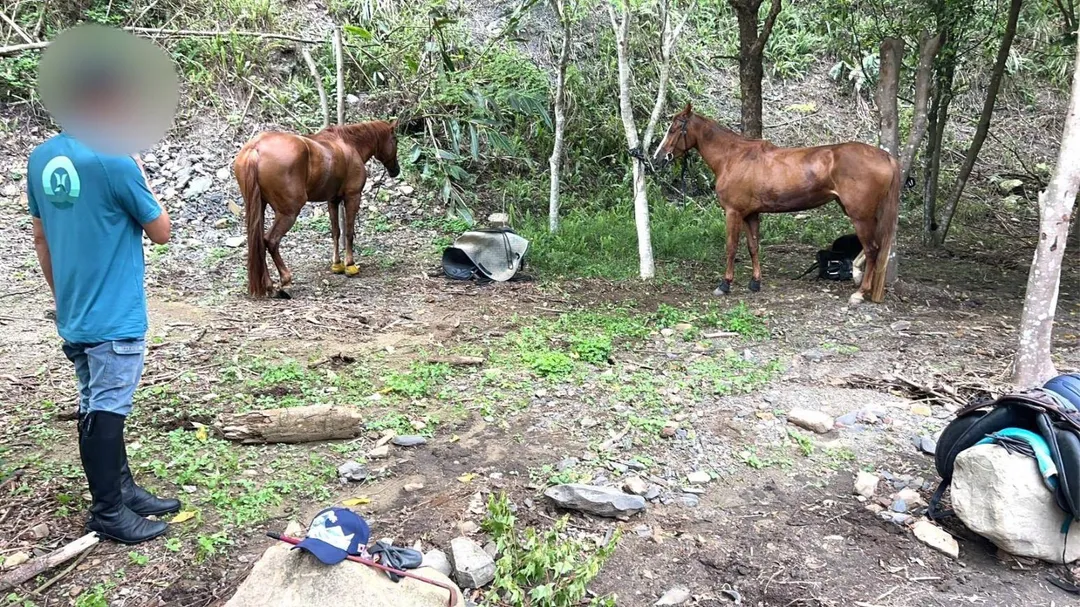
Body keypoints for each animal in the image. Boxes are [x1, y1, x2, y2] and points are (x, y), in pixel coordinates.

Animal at [233, 120, 401, 298]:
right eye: (395, 140)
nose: (396, 170)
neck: (349, 145)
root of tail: (256, 148)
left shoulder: (333, 200)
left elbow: (336, 232)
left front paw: (337, 265)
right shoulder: (353, 196)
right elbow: (349, 232)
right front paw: (350, 265)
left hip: (259, 207)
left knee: (259, 242)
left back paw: (268, 286)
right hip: (288, 212)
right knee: (270, 241)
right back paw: (284, 280)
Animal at [651, 103, 900, 304]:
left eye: (673, 129)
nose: (657, 158)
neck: (733, 157)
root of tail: (885, 156)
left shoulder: (733, 213)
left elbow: (731, 247)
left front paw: (725, 284)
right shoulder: (750, 214)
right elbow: (753, 247)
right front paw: (755, 283)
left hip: (860, 216)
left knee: (872, 250)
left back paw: (859, 293)